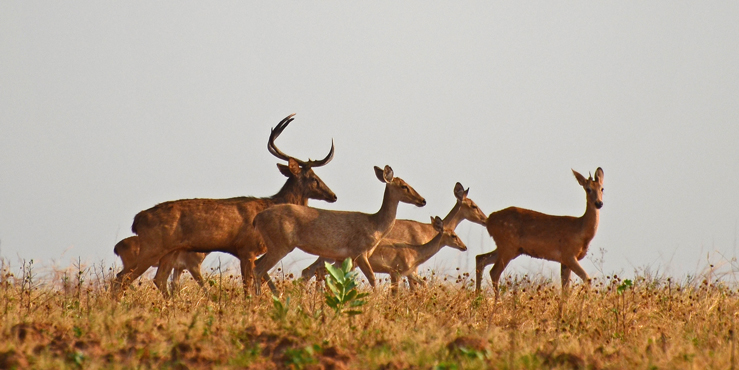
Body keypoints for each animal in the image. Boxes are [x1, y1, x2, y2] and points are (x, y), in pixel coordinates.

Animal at [254, 165, 428, 294]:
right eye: (404, 186)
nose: (422, 200)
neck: (375, 225)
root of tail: (258, 218)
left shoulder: (341, 257)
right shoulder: (359, 252)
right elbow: (371, 279)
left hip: (274, 246)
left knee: (258, 265)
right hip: (280, 245)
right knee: (259, 269)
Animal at [298, 182, 488, 284]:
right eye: (473, 205)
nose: (486, 219)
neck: (427, 230)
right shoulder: (410, 268)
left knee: (310, 272)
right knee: (313, 272)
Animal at [476, 167, 604, 298]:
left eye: (602, 188)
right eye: (588, 189)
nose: (599, 203)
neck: (581, 232)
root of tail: (489, 220)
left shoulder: (565, 261)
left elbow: (565, 289)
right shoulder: (568, 255)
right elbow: (587, 279)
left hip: (511, 248)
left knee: (480, 258)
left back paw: (478, 295)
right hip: (508, 246)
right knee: (494, 272)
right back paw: (497, 301)